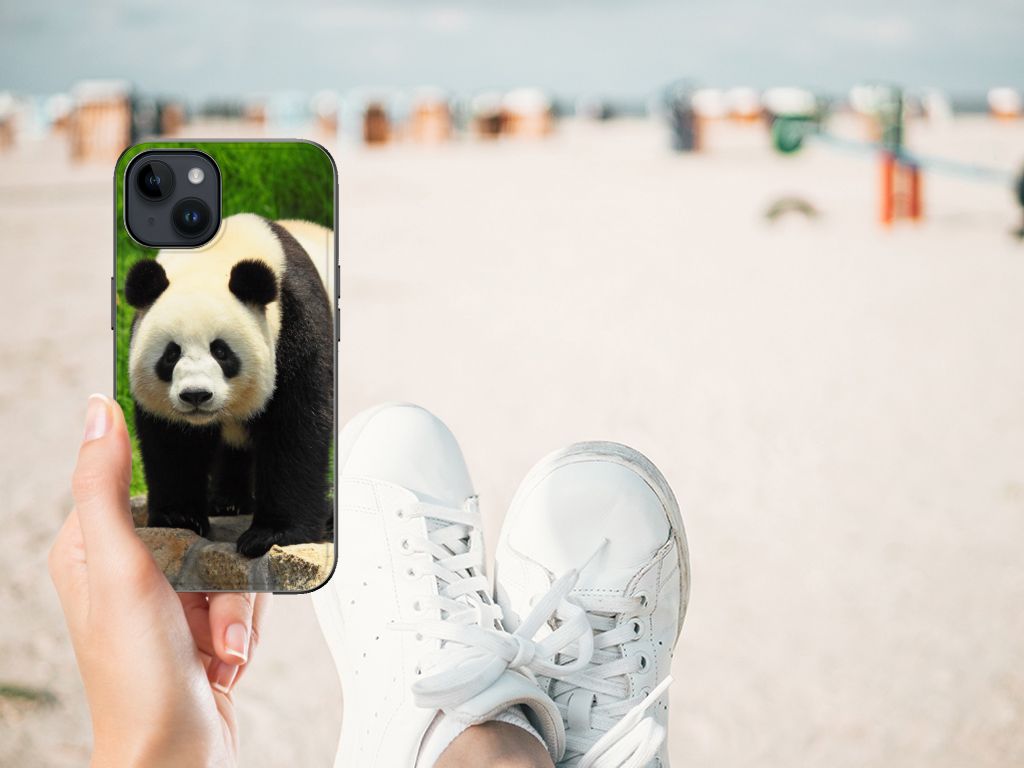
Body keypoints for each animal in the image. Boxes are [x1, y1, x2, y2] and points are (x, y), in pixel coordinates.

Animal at [124, 213, 334, 558]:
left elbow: (295, 427)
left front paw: (271, 534)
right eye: (171, 354)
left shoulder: (297, 324)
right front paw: (179, 517)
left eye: (221, 351)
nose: (196, 395)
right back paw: (228, 502)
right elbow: (173, 441)